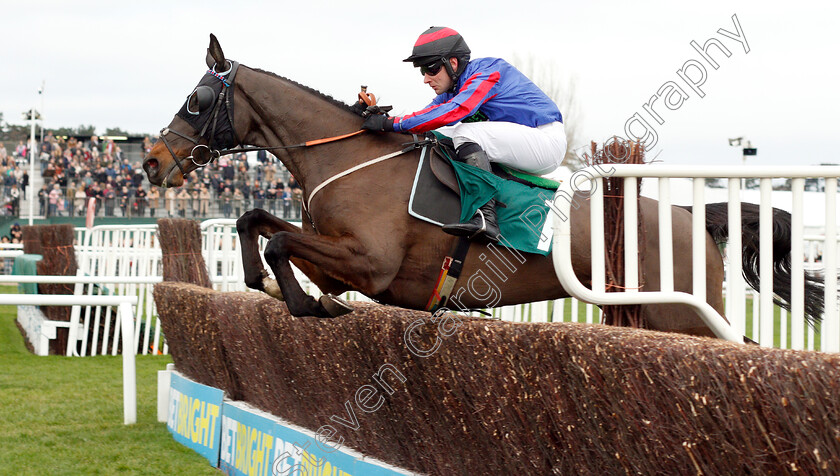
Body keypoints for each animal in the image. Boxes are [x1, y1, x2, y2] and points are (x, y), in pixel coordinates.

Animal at [141, 34, 824, 338]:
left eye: (197, 100)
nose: (151, 163)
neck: (351, 155)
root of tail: (689, 210)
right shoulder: (339, 259)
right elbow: (256, 222)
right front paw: (270, 285)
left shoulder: (372, 264)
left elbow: (283, 242)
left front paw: (306, 304)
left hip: (679, 312)